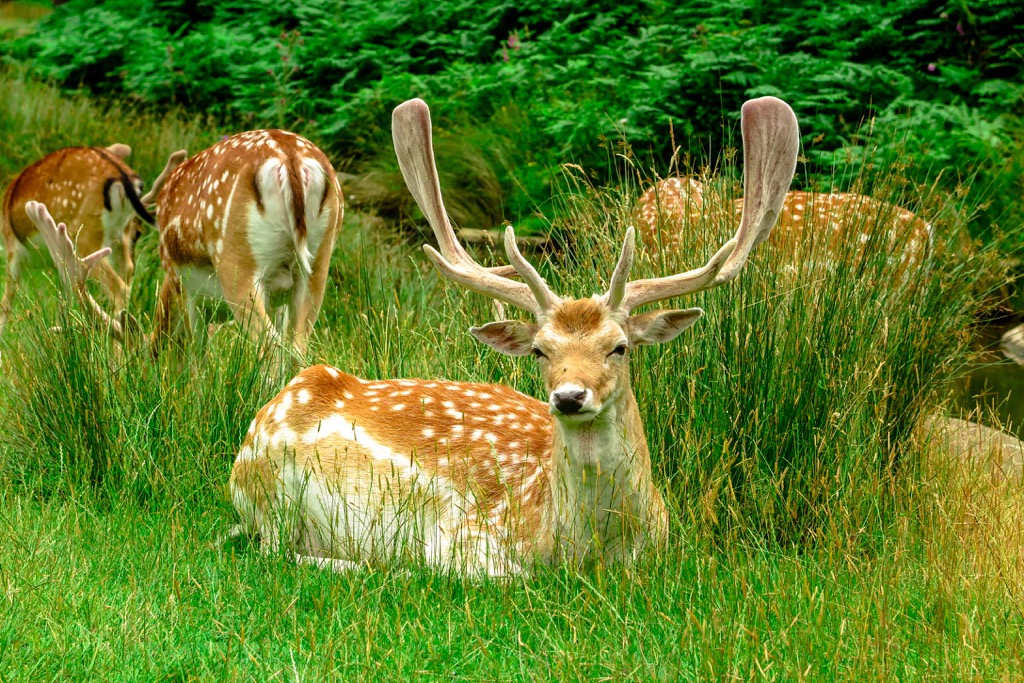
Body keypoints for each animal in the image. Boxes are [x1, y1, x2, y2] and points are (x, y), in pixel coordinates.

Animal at [1, 143, 155, 335]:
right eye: (138, 233)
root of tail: (122, 175)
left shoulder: (12, 250)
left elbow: (5, 304)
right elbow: (63, 298)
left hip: (86, 233)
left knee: (117, 287)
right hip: (120, 234)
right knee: (127, 270)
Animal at [224, 96, 799, 576]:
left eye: (619, 346)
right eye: (541, 351)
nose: (569, 396)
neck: (585, 547)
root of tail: (272, 406)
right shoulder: (466, 538)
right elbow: (503, 576)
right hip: (270, 495)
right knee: (269, 549)